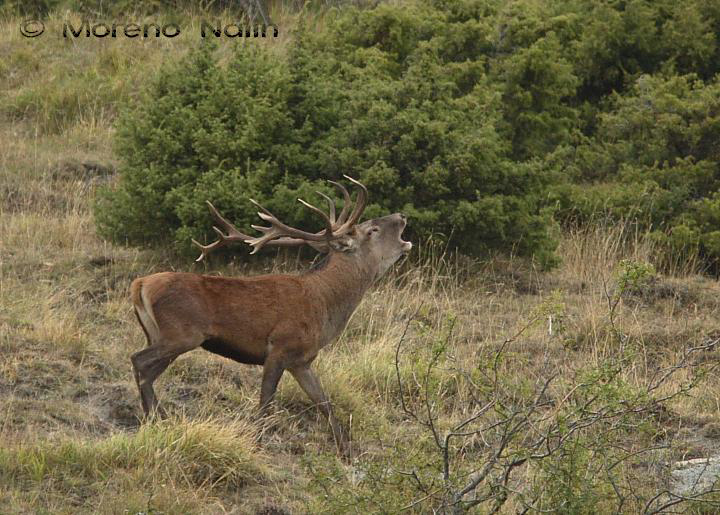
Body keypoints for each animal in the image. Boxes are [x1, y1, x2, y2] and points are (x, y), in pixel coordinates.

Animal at [129, 176, 410, 452]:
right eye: (371, 230)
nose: (401, 215)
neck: (325, 306)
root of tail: (140, 284)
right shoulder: (280, 347)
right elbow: (266, 402)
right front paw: (255, 443)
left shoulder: (302, 360)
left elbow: (324, 402)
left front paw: (347, 452)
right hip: (181, 334)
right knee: (138, 360)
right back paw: (155, 417)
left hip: (158, 335)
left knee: (145, 369)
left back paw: (156, 418)